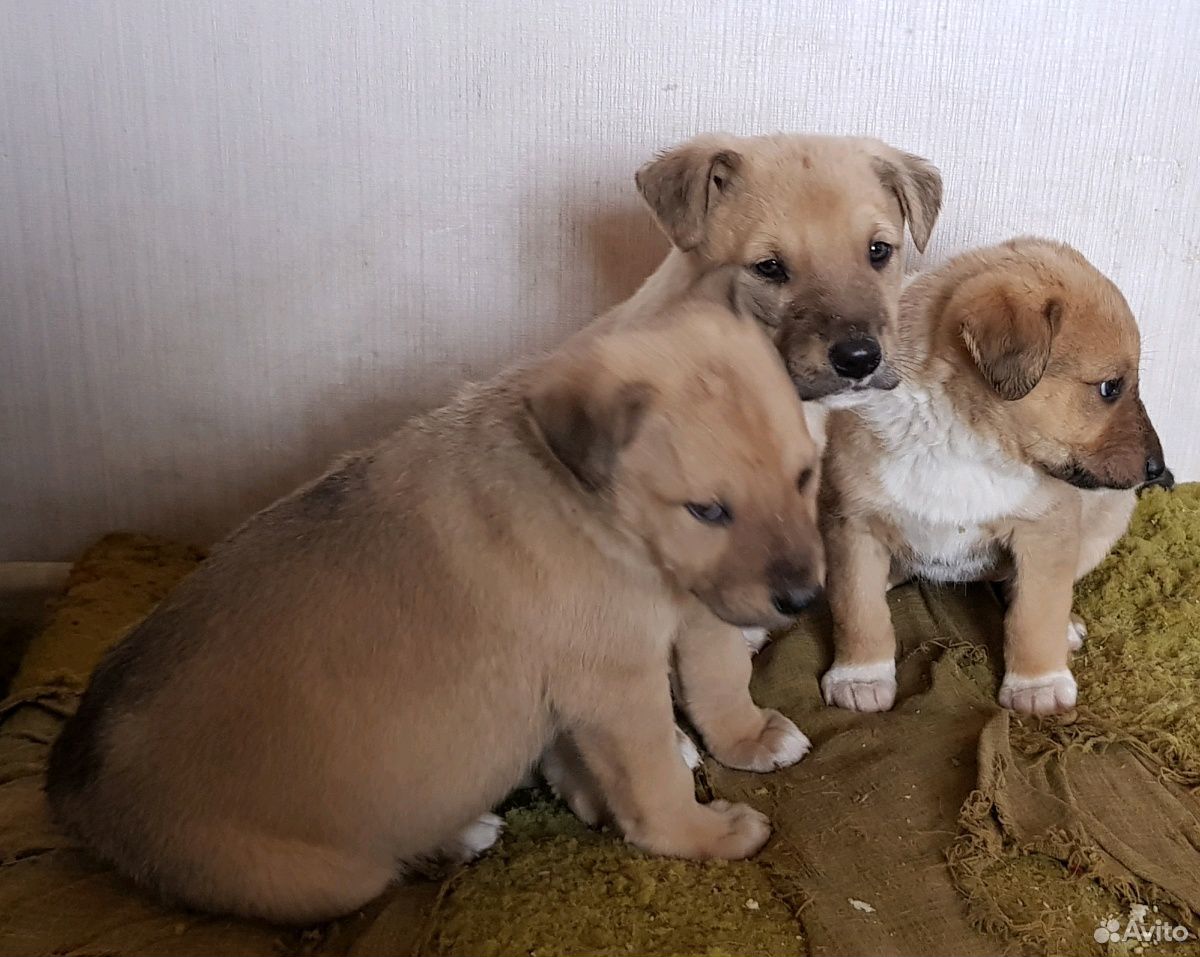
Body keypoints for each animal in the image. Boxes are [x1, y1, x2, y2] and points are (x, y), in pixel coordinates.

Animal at [42, 289, 820, 925]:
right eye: (707, 510)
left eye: (807, 476)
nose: (804, 598)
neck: (596, 513)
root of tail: (69, 787)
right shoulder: (617, 681)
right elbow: (654, 779)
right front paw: (701, 834)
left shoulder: (679, 615)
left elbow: (716, 681)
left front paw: (746, 736)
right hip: (323, 877)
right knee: (386, 861)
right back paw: (457, 834)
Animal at [820, 239, 1166, 719]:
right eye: (1110, 387)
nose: (1158, 469)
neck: (962, 441)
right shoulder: (853, 524)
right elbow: (858, 609)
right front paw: (861, 676)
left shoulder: (1045, 531)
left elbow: (1035, 613)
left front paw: (1037, 684)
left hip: (1110, 517)